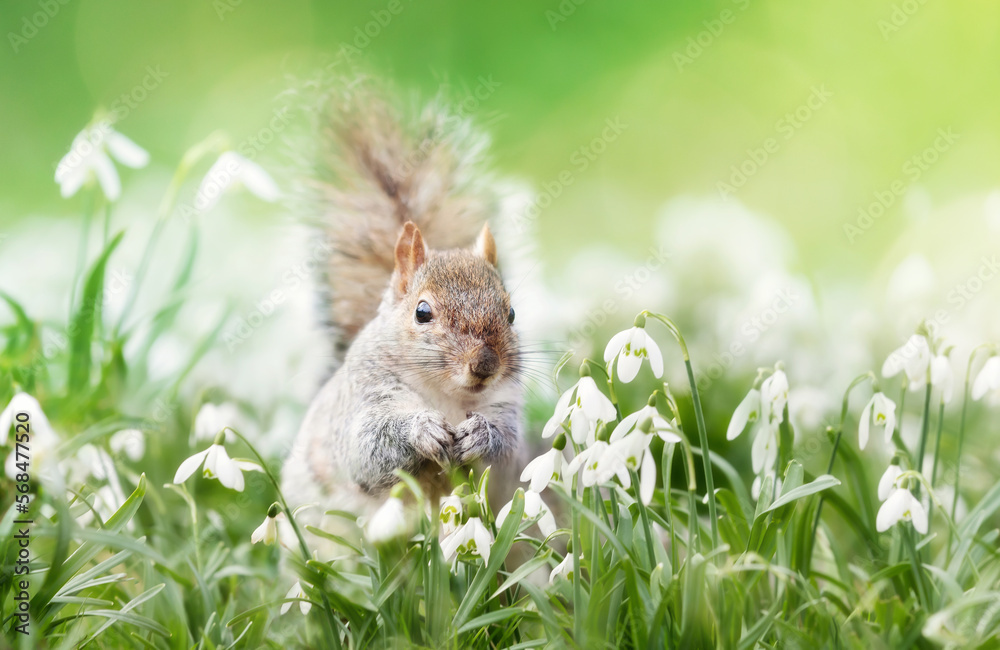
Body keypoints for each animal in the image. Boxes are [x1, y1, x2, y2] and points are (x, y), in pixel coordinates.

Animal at [281, 78, 527, 520]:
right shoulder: (364, 401)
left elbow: (505, 454)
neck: (448, 397)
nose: (485, 365)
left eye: (512, 312)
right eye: (422, 312)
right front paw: (421, 430)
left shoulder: (507, 408)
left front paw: (481, 434)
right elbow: (367, 450)